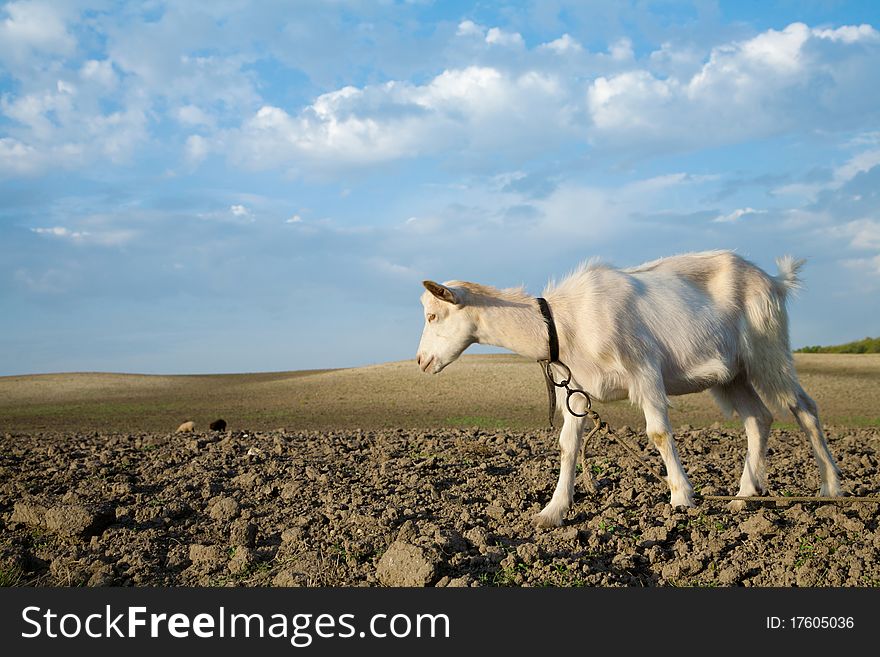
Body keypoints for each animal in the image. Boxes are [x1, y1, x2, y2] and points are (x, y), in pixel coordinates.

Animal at [420, 249, 844, 524]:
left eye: (433, 315)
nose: (421, 361)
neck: (565, 320)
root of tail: (775, 281)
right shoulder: (576, 389)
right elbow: (568, 445)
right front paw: (552, 512)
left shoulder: (644, 371)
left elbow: (657, 433)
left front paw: (681, 497)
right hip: (731, 375)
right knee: (759, 418)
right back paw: (743, 497)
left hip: (767, 350)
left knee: (804, 408)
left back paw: (831, 487)